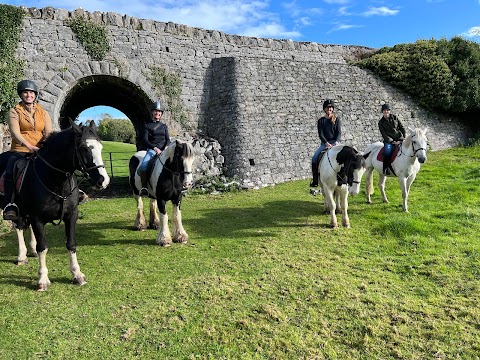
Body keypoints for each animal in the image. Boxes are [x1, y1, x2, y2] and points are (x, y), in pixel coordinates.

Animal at [0, 120, 109, 290]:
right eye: (84, 148)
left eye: (100, 147)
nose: (103, 181)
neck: (55, 181)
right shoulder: (37, 218)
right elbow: (43, 247)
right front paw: (43, 279)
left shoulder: (71, 215)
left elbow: (71, 244)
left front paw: (77, 274)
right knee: (18, 226)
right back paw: (21, 256)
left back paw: (30, 251)